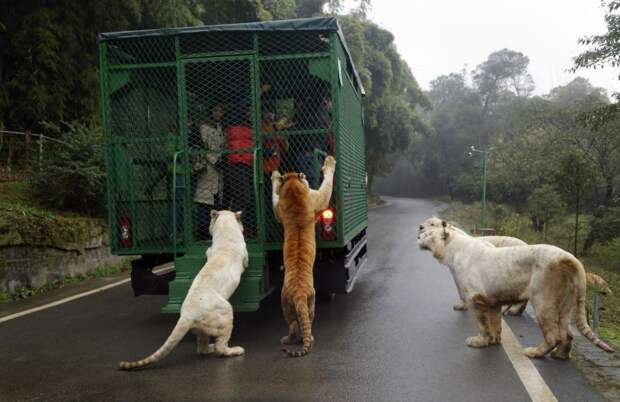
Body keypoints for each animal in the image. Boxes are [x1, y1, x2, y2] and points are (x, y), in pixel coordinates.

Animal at [120, 210, 248, 370]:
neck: (225, 230)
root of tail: (187, 315)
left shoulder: (210, 251)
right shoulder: (244, 255)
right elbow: (246, 262)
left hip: (201, 329)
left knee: (202, 348)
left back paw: (210, 347)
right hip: (226, 312)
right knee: (220, 346)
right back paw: (235, 350)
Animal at [272, 155, 336, 356]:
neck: (294, 191)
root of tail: (299, 293)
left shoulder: (280, 209)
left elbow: (274, 194)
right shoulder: (319, 199)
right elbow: (327, 184)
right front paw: (330, 162)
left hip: (291, 305)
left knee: (296, 324)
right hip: (305, 304)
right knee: (299, 325)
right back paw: (297, 339)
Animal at [414, 223, 612, 358]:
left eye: (429, 233)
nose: (417, 237)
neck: (451, 250)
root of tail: (570, 258)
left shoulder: (477, 298)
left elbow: (482, 323)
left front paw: (479, 342)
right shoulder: (492, 300)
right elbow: (495, 322)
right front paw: (494, 341)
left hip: (543, 301)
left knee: (553, 336)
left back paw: (534, 352)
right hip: (566, 303)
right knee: (568, 335)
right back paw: (560, 356)